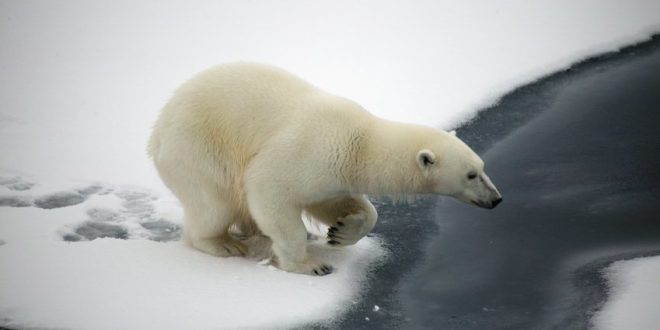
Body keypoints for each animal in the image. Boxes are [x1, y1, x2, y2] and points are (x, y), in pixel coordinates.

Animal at [148, 62, 500, 276]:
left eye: (483, 167)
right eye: (472, 174)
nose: (496, 199)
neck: (361, 140)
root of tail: (157, 131)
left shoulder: (334, 170)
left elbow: (334, 202)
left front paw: (341, 232)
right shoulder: (313, 148)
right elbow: (269, 185)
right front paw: (309, 264)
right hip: (198, 148)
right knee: (214, 203)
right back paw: (222, 243)